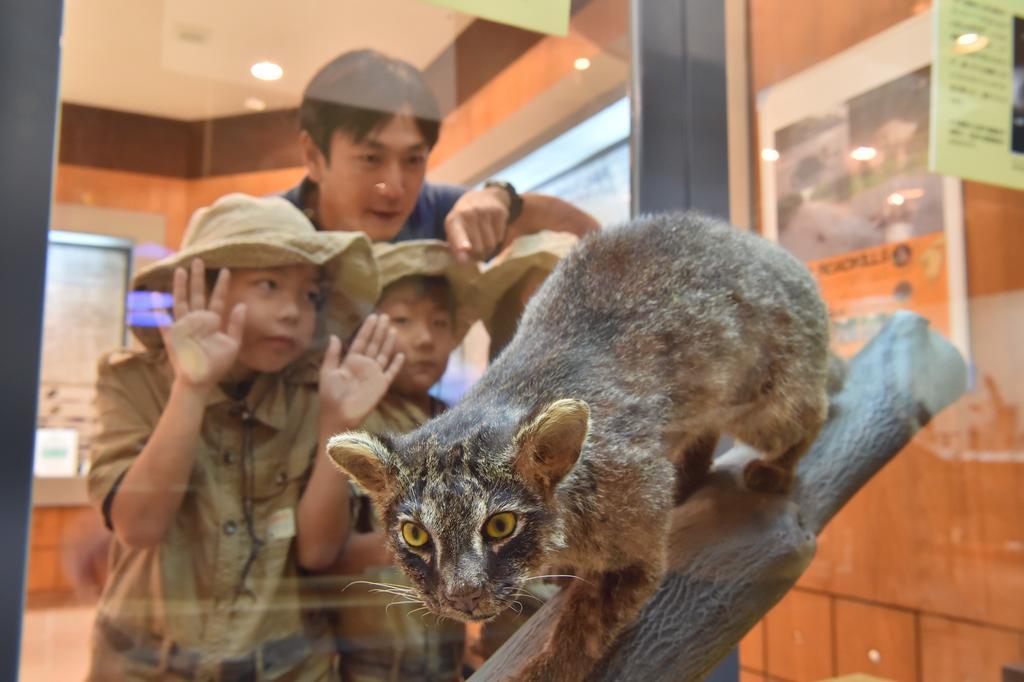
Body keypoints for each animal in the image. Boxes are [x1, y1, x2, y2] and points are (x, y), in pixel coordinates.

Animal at [327, 209, 831, 675]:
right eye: (415, 535)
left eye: (500, 526)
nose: (463, 595)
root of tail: (771, 249)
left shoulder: (635, 539)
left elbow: (586, 624)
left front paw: (550, 669)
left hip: (764, 403)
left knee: (812, 410)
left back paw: (777, 467)